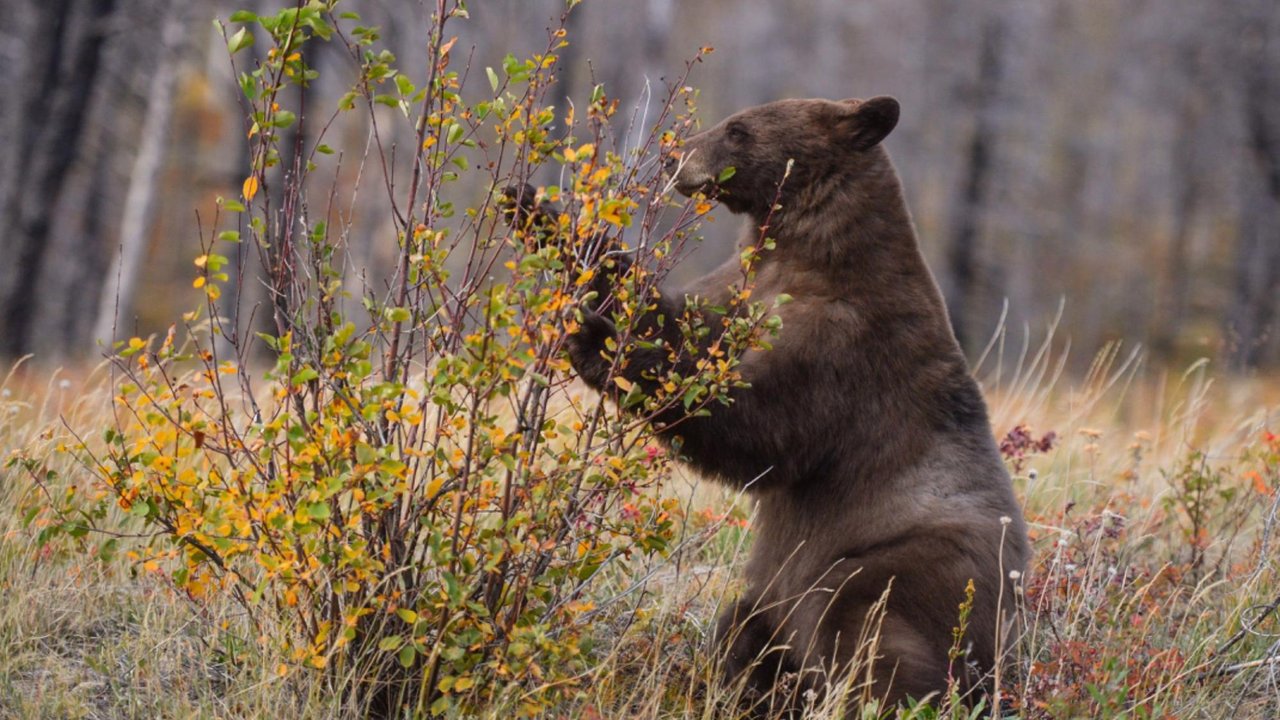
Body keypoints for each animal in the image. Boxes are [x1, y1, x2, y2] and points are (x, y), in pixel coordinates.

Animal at [504, 96, 1024, 712]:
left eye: (739, 129)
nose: (673, 155)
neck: (809, 254)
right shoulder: (743, 291)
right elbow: (673, 315)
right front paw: (537, 211)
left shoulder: (845, 347)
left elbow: (761, 426)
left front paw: (599, 339)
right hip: (777, 601)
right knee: (743, 625)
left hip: (910, 565)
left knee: (865, 629)